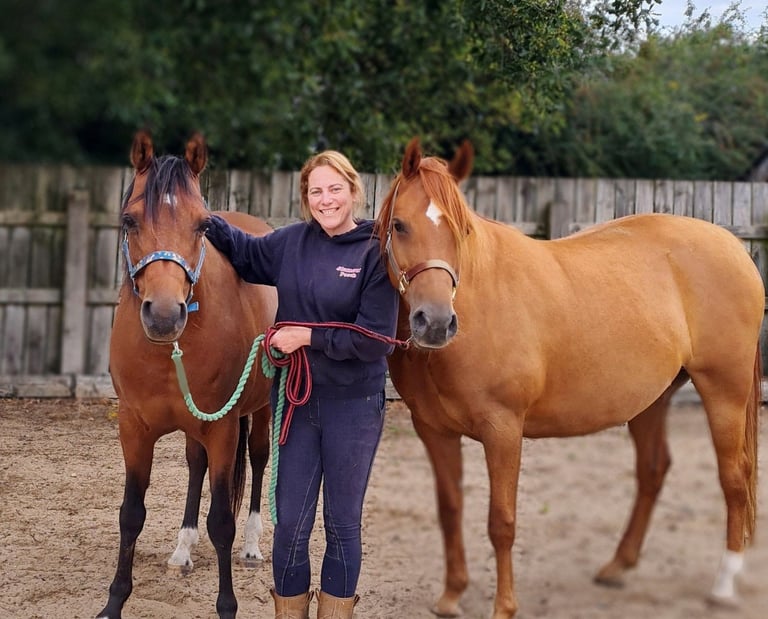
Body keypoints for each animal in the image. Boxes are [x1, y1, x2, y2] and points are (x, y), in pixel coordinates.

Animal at [97, 130, 277, 619]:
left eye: (202, 226)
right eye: (129, 220)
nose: (163, 315)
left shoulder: (223, 429)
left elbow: (223, 522)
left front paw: (227, 605)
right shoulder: (134, 428)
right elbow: (130, 513)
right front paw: (114, 601)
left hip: (262, 408)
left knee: (259, 460)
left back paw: (252, 546)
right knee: (196, 465)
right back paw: (183, 548)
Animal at [374, 137, 764, 619]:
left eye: (462, 230)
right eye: (400, 225)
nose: (435, 323)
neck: (479, 299)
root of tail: (732, 245)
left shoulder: (503, 430)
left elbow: (501, 521)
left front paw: (504, 607)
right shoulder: (434, 431)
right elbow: (450, 510)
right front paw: (451, 596)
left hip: (724, 390)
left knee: (734, 478)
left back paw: (724, 584)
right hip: (652, 401)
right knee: (653, 471)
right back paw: (617, 566)